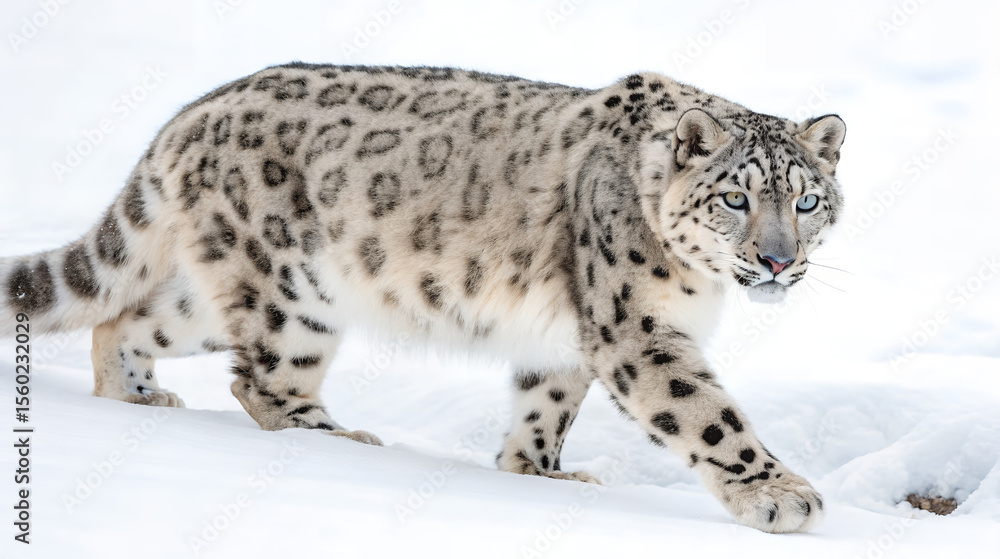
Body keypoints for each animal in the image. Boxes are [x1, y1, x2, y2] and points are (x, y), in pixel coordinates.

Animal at [0, 63, 846, 533]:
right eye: (735, 198)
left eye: (806, 201)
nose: (777, 260)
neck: (697, 281)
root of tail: (187, 114)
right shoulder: (635, 327)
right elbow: (706, 413)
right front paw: (781, 495)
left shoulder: (569, 336)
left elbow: (545, 404)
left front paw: (537, 473)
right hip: (294, 293)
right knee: (262, 380)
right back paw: (337, 439)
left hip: (210, 294)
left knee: (123, 319)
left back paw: (139, 399)